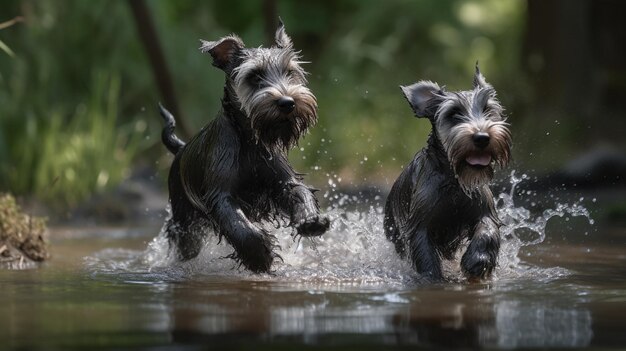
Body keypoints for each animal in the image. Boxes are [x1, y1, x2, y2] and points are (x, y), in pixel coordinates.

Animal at [158, 20, 330, 276]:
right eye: (254, 76)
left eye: (290, 72)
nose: (288, 103)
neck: (250, 141)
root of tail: (180, 149)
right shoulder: (221, 195)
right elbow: (239, 225)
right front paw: (260, 255)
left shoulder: (283, 183)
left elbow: (300, 194)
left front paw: (311, 221)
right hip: (185, 225)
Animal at [382, 65, 510, 280]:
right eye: (454, 114)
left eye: (488, 110)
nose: (482, 137)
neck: (454, 182)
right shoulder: (420, 226)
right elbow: (425, 256)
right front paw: (433, 278)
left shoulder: (484, 210)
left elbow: (487, 230)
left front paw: (477, 260)